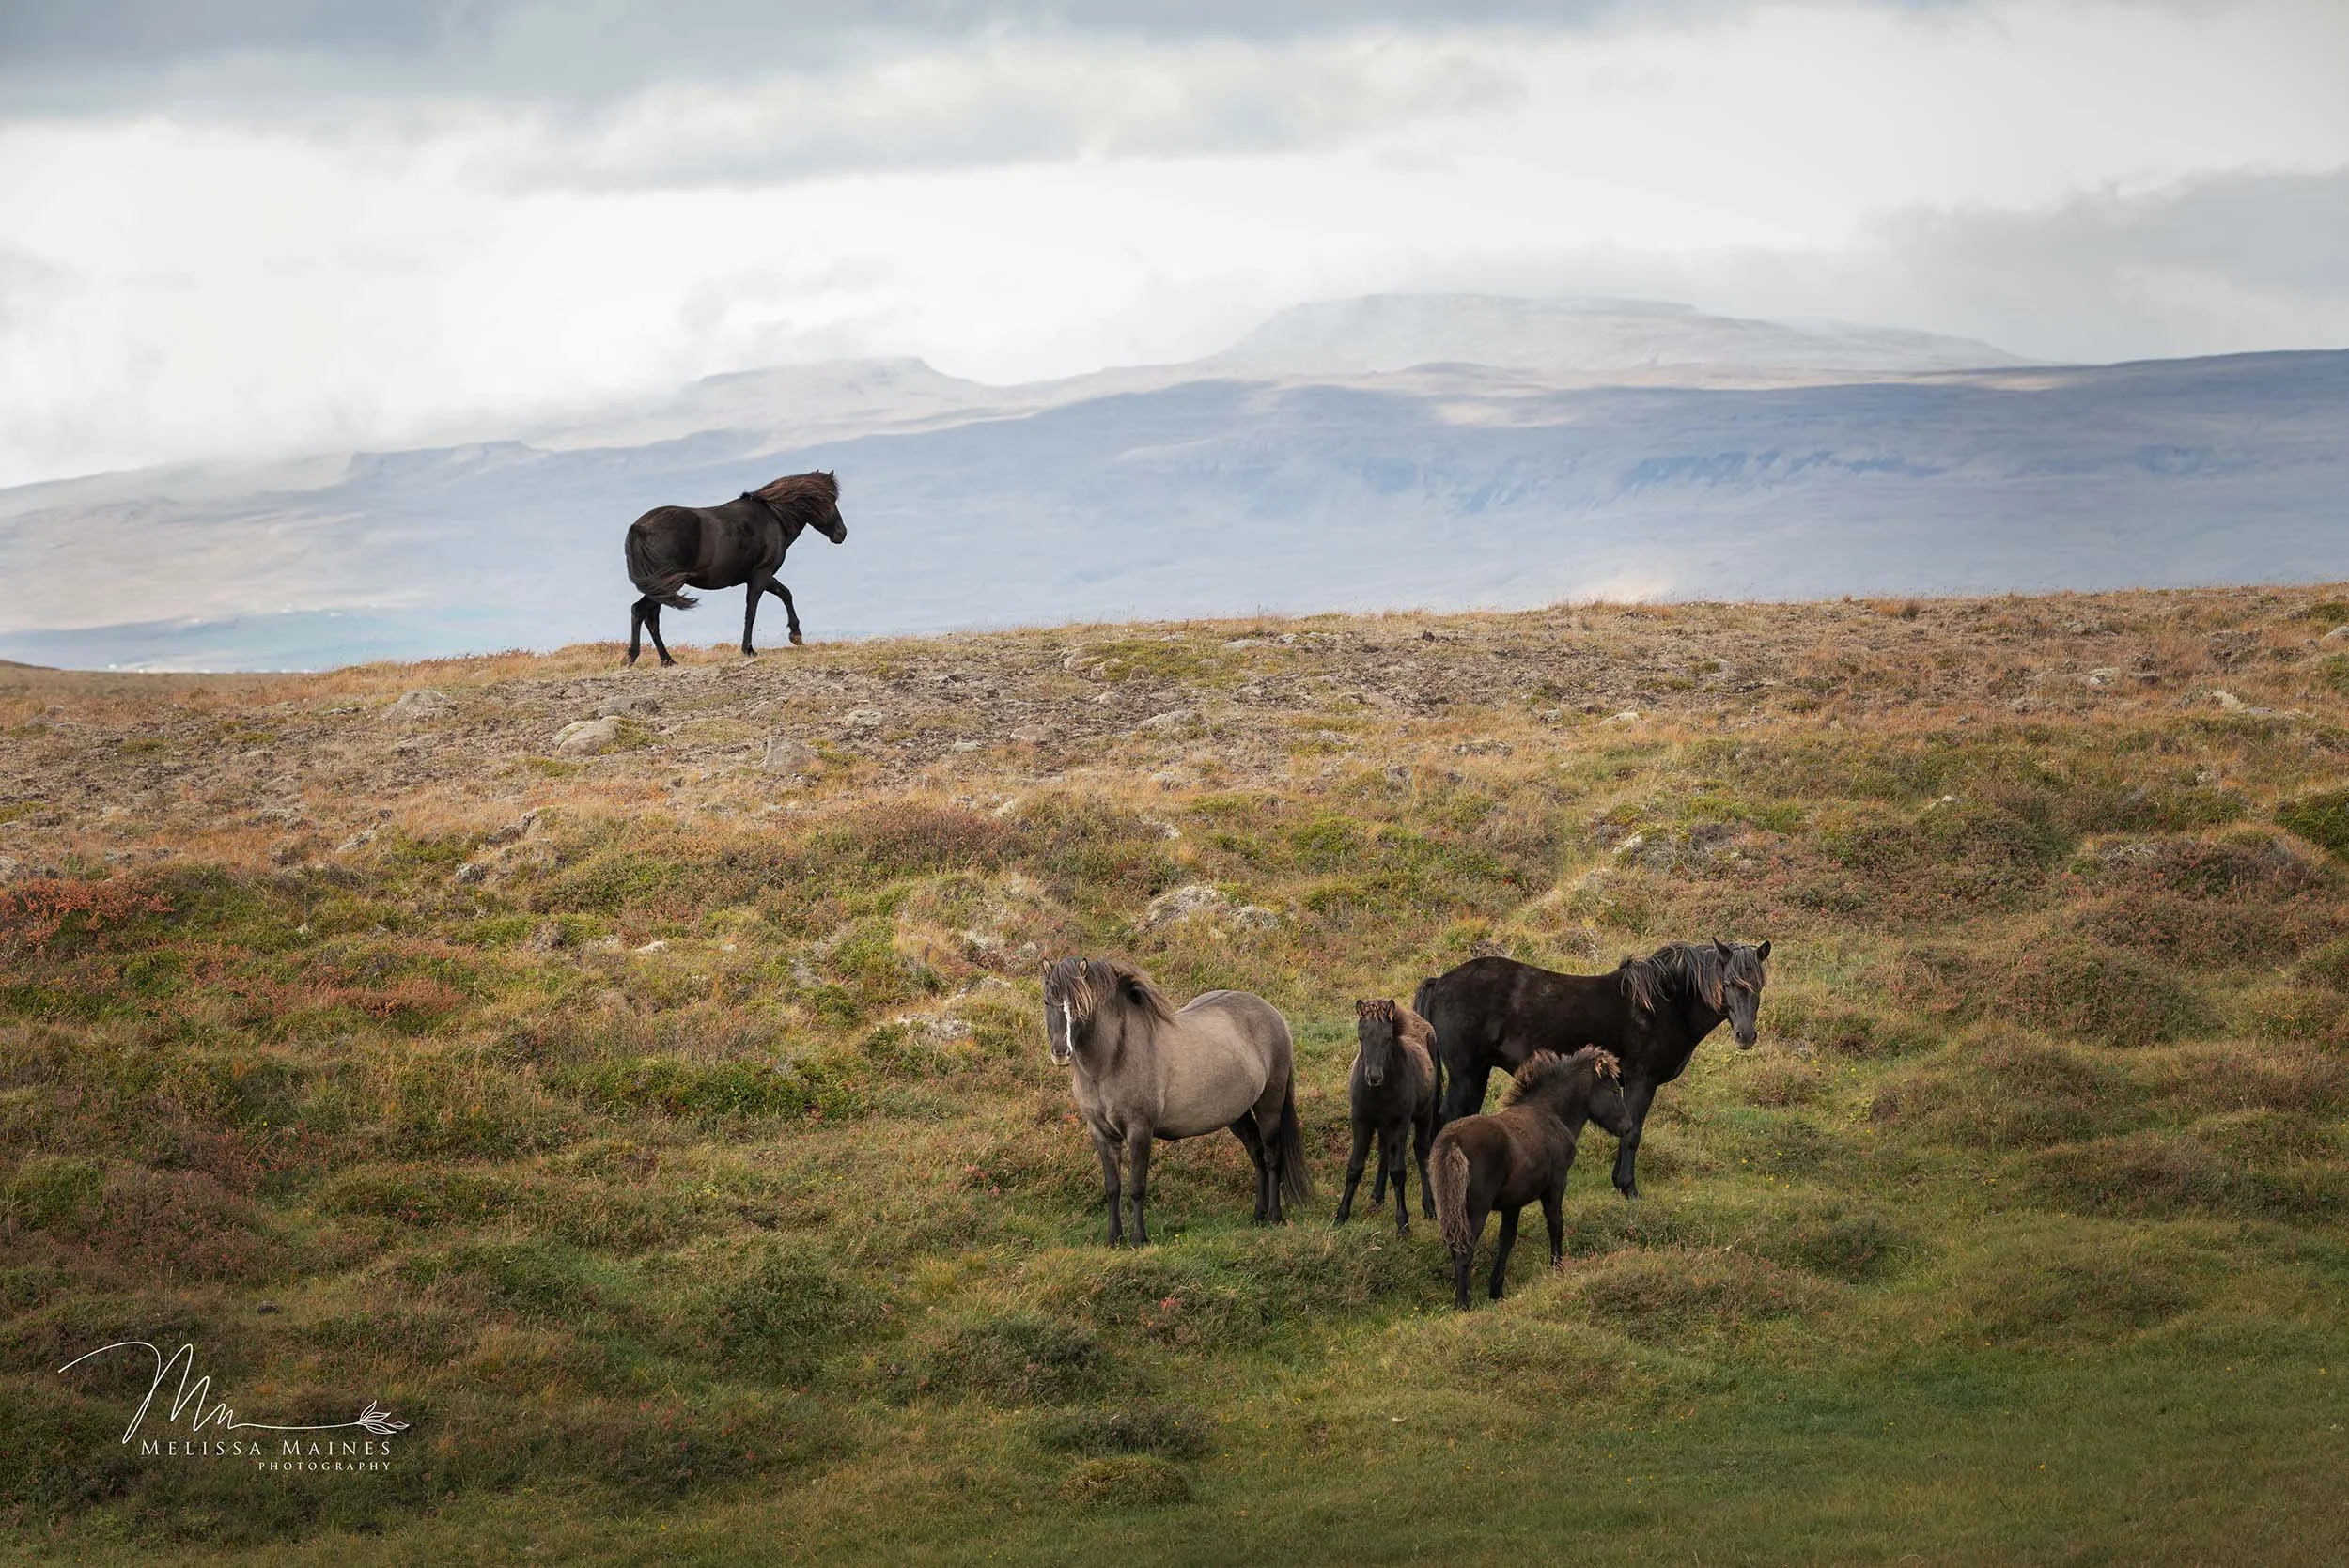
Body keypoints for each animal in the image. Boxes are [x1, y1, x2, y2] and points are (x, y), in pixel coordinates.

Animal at [622, 470, 847, 665]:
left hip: (661, 588)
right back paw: (634, 657)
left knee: (650, 618)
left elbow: (785, 594)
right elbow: (752, 612)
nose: (842, 533)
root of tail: (639, 528)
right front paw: (749, 649)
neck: (774, 517)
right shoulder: (760, 576)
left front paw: (796, 635)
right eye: (831, 500)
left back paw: (666, 660)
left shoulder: (761, 577)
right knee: (641, 612)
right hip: (666, 585)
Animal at [1043, 956, 1312, 1246]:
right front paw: (1114, 1237)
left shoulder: (1140, 1129)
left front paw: (1139, 1238)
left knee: (1272, 1156)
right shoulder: (1101, 1133)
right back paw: (1258, 1214)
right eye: (1047, 1001)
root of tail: (1273, 1014)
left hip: (1269, 1103)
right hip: (1236, 1114)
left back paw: (1274, 1216)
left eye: (1081, 1004)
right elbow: (1113, 1187)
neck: (1111, 1061)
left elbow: (1137, 1186)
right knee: (1257, 1153)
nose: (1061, 1051)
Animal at [1335, 998, 1441, 1237]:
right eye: (1361, 1037)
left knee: (1422, 1151)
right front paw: (1341, 1215)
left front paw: (1403, 1224)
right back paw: (1377, 1196)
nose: (1374, 1076)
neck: (1378, 1093)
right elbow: (1354, 1168)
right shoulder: (1361, 1122)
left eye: (1388, 1038)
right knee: (1384, 1151)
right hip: (1384, 1126)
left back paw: (1429, 1206)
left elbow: (1398, 1172)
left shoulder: (1399, 1123)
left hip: (1424, 1115)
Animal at [1415, 939, 1770, 1200]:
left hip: (1477, 1074)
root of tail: (1441, 981)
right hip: (1464, 1075)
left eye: (1758, 986)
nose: (1746, 1036)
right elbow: (1632, 1132)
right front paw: (1627, 1188)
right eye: (1729, 983)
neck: (1665, 1005)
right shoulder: (1641, 1079)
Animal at [1430, 1048, 1632, 1309]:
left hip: (1451, 1207)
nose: (1627, 1126)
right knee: (1464, 1250)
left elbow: (1507, 1239)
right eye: (1614, 1090)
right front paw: (1558, 1269)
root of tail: (1452, 1141)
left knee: (1455, 1246)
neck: (1551, 1113)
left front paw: (1497, 1291)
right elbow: (1556, 1224)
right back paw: (1463, 1304)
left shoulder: (1512, 1202)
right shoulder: (1556, 1184)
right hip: (1476, 1208)